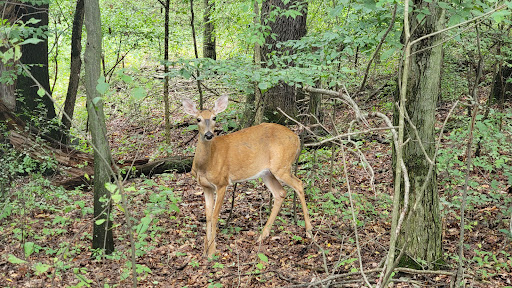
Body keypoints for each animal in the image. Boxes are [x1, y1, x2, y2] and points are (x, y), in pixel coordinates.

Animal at [182, 95, 314, 256]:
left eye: (214, 117)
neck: (206, 164)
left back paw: (309, 231)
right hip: (267, 172)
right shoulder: (206, 186)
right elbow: (207, 216)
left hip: (282, 165)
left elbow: (214, 216)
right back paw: (263, 235)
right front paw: (205, 250)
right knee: (280, 192)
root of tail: (296, 138)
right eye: (198, 119)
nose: (208, 135)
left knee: (299, 184)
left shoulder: (222, 182)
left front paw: (212, 251)